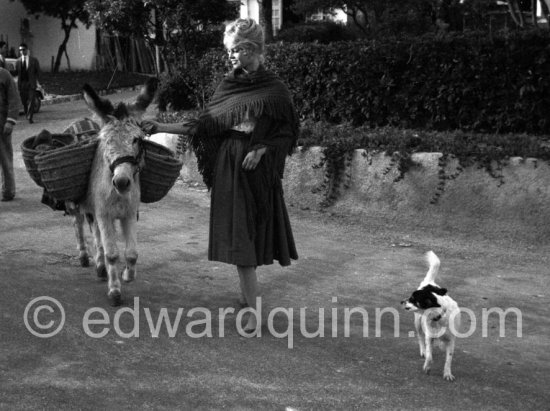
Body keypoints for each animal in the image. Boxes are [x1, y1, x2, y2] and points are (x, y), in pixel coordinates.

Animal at [402, 251, 462, 384]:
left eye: (413, 299)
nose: (401, 301)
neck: (438, 318)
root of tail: (429, 283)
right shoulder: (429, 337)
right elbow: (429, 355)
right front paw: (427, 367)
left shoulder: (451, 341)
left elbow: (448, 359)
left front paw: (447, 373)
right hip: (418, 323)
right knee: (420, 338)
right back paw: (423, 351)